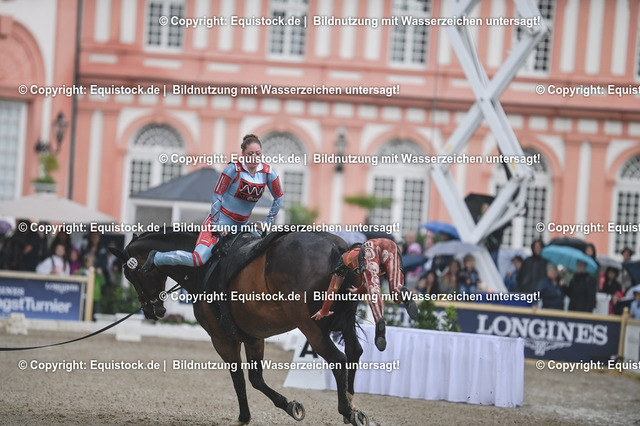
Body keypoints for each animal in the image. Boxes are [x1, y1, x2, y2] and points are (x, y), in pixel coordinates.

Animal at [109, 231, 370, 426]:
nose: (152, 310)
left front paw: (244, 417)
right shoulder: (254, 337)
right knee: (354, 352)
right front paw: (289, 406)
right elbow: (255, 378)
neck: (203, 267)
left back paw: (347, 411)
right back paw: (352, 404)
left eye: (129, 274)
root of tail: (337, 248)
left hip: (311, 327)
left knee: (338, 359)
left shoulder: (222, 339)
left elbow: (238, 378)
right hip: (344, 320)